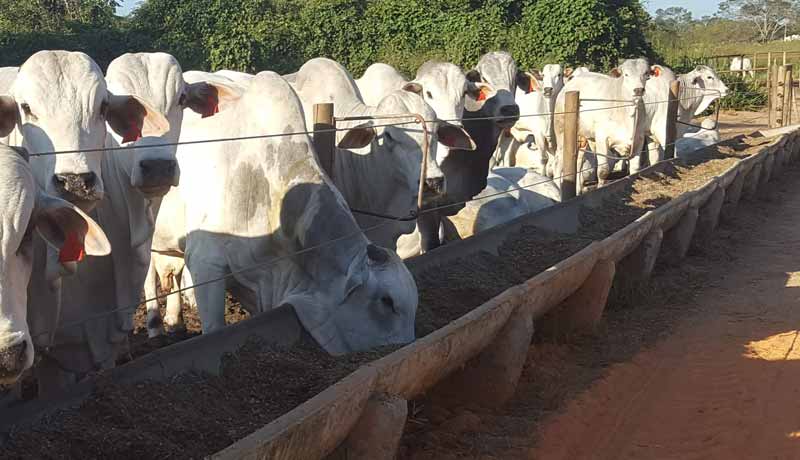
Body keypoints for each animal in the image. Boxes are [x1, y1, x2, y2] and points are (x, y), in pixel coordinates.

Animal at [552, 58, 652, 192]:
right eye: (626, 74)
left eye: (646, 73)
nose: (638, 90)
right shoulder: (602, 139)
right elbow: (603, 171)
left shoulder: (638, 141)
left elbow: (635, 169)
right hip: (561, 132)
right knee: (558, 161)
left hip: (582, 137)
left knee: (578, 161)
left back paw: (578, 190)